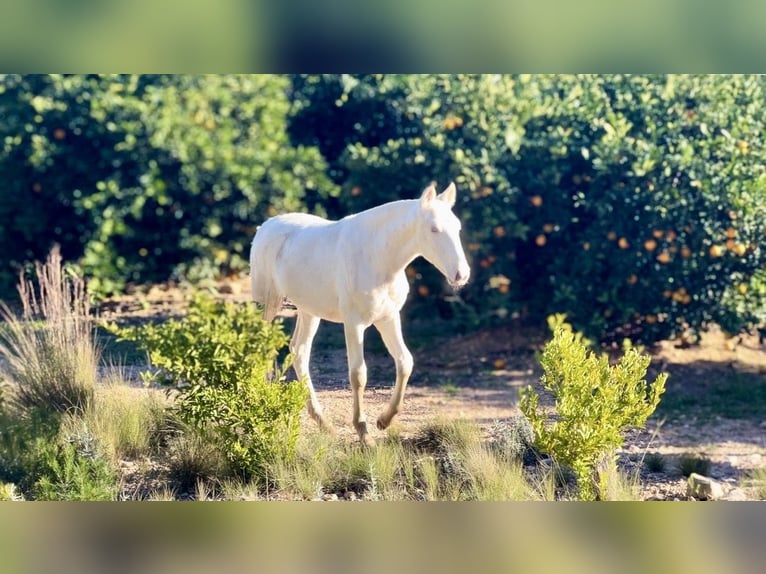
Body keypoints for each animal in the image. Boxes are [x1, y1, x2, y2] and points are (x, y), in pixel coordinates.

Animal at [249, 183, 472, 446]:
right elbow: (358, 374)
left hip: (309, 311)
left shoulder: (388, 318)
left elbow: (405, 361)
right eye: (434, 229)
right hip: (268, 305)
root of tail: (265, 226)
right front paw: (364, 433)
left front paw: (384, 420)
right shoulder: (354, 323)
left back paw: (323, 422)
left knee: (299, 351)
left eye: (458, 227)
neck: (377, 257)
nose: (461, 275)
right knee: (262, 347)